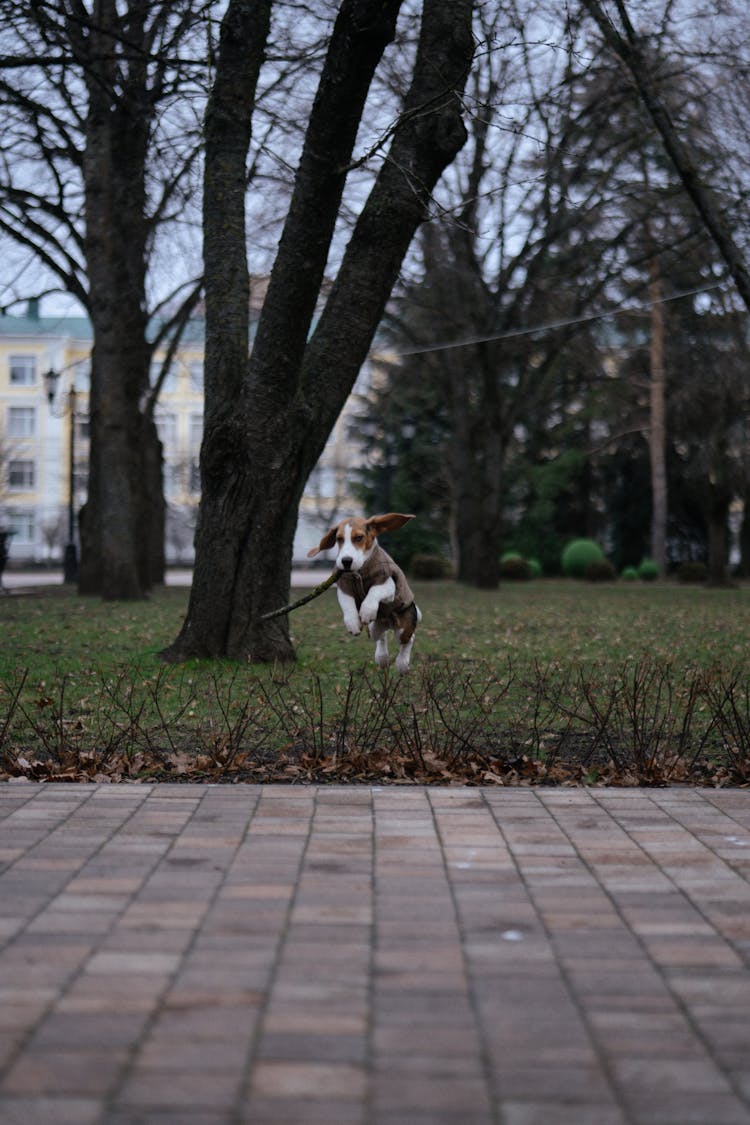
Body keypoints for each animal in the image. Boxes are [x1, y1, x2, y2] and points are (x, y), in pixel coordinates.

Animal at [305, 513, 422, 675]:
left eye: (359, 538)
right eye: (339, 539)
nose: (346, 561)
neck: (360, 570)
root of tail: (387, 621)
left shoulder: (387, 583)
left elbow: (374, 591)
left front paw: (367, 610)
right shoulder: (344, 586)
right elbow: (347, 605)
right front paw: (353, 622)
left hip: (403, 627)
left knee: (408, 639)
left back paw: (402, 664)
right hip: (373, 629)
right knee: (381, 636)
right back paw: (382, 657)